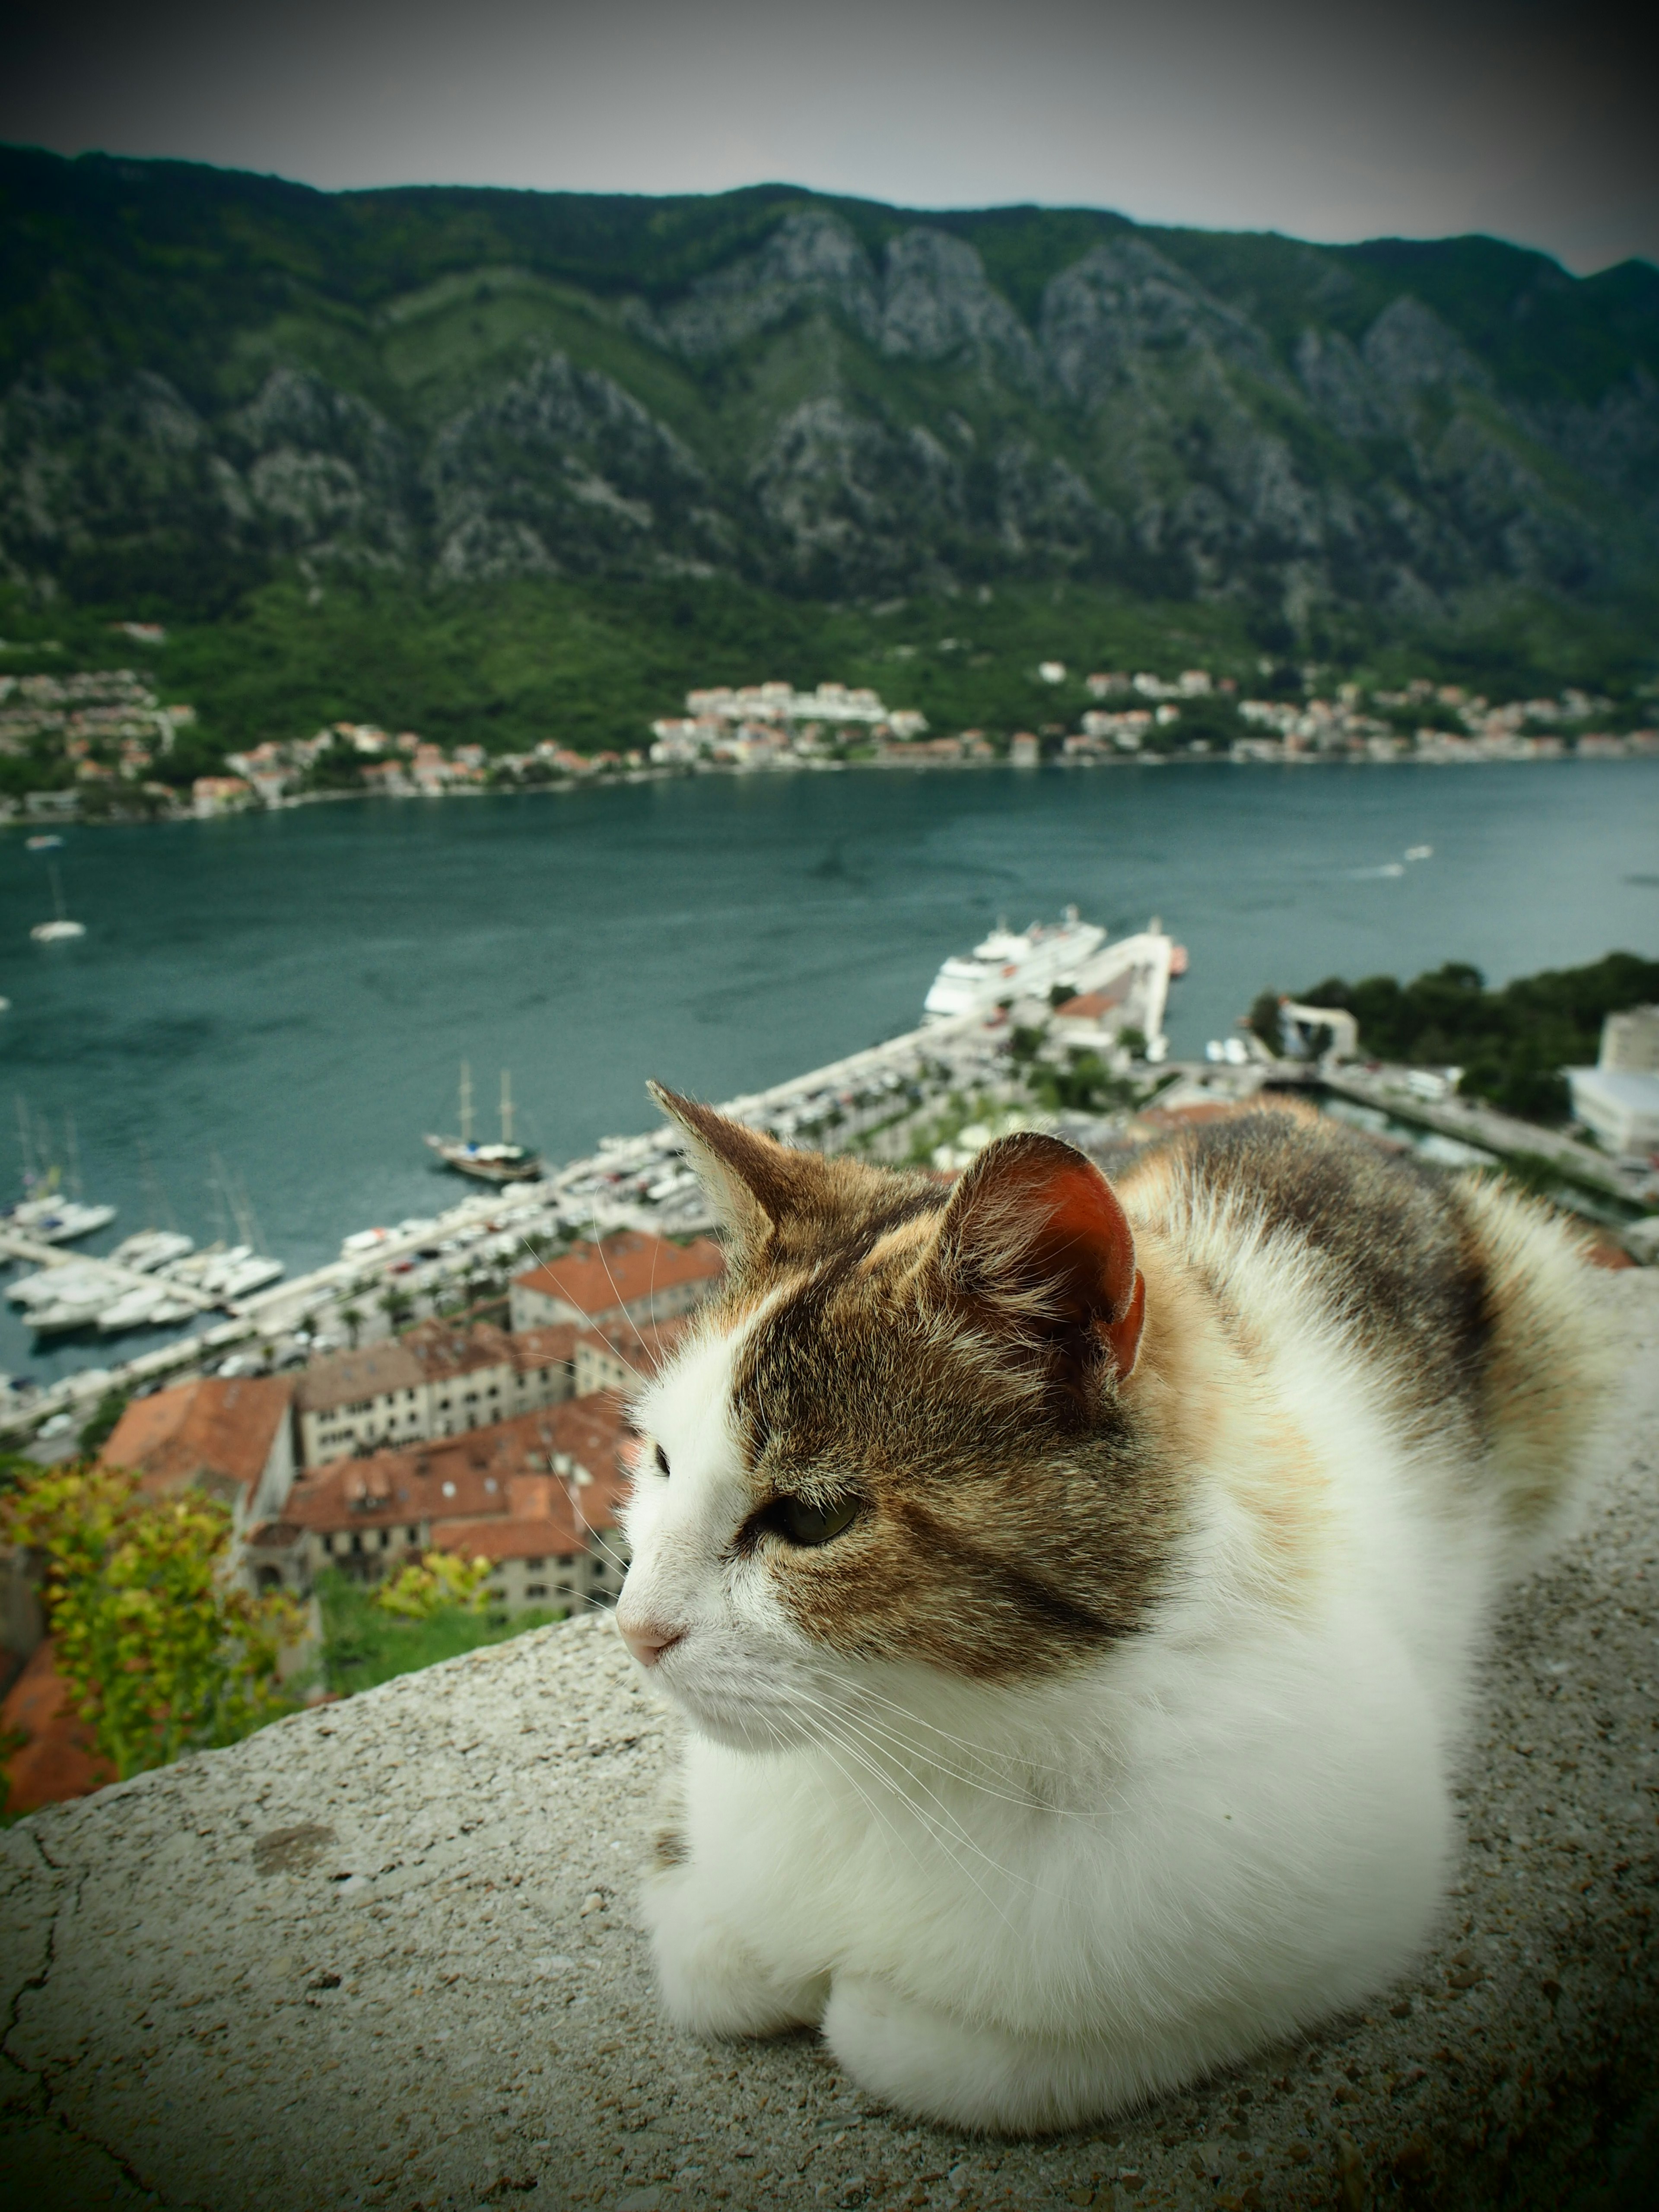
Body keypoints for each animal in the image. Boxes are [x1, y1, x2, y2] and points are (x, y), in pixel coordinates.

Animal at [615, 1079, 1610, 2132]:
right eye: (662, 1460)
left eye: (813, 1519)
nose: (635, 1630)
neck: (929, 1752)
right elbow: (708, 1957)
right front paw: (741, 1934)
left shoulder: (1356, 1890)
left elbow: (957, 2051)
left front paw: (879, 2011)